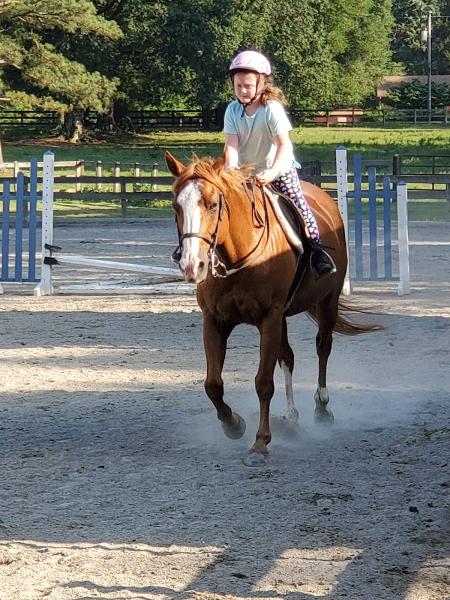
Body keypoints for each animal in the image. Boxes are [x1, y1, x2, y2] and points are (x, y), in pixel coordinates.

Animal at [165, 152, 380, 466]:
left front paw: (260, 444)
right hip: (284, 318)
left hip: (326, 301)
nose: (193, 265)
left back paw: (322, 408)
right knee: (287, 357)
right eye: (176, 206)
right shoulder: (215, 320)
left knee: (323, 347)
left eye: (213, 204)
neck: (237, 258)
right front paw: (233, 425)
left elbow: (264, 382)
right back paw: (290, 416)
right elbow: (213, 384)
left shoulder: (269, 318)